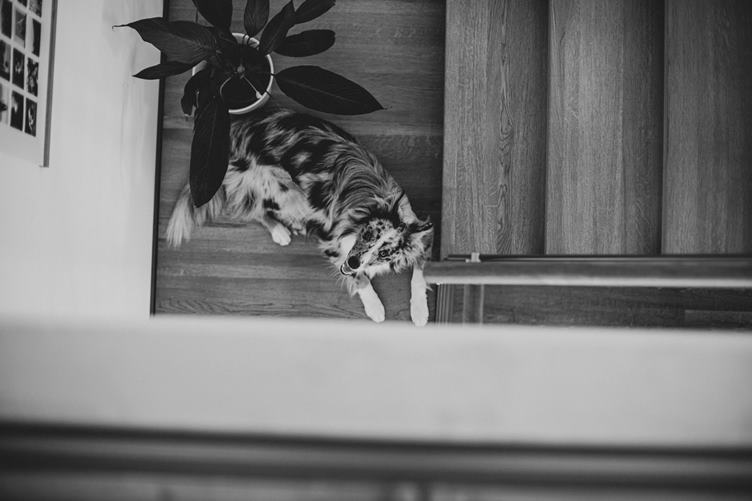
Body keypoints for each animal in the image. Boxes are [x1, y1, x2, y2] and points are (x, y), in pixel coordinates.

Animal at [166, 110, 433, 325]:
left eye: (385, 252)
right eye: (368, 233)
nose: (355, 261)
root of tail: (235, 131)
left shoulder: (424, 238)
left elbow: (420, 274)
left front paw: (420, 312)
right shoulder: (333, 241)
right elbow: (360, 279)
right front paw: (375, 307)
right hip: (283, 189)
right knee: (254, 209)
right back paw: (280, 231)